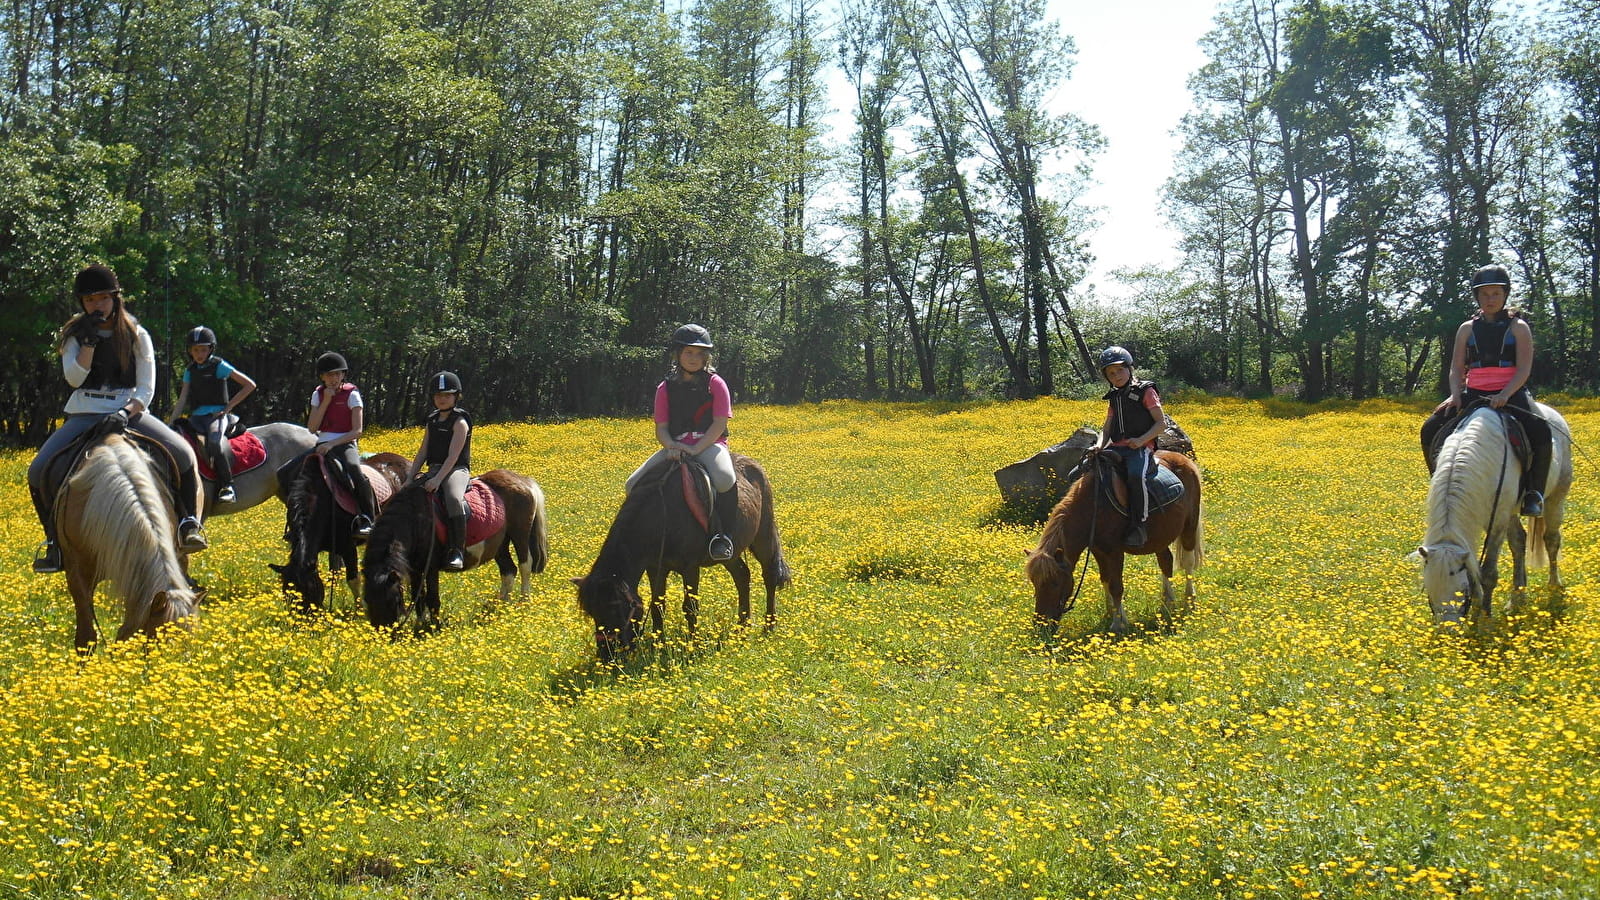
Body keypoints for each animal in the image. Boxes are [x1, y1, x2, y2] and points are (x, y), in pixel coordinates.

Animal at [361, 470, 547, 630]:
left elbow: (432, 598)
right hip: (499, 544)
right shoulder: (414, 569)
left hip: (519, 534)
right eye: (367, 599)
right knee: (508, 570)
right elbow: (417, 597)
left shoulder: (431, 568)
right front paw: (420, 625)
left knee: (524, 566)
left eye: (392, 600)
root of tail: (523, 481)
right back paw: (502, 605)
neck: (415, 521)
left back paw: (523, 603)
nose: (382, 633)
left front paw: (433, 628)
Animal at [579, 454, 796, 659]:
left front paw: (692, 645)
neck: (662, 516)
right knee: (742, 576)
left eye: (614, 608)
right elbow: (658, 605)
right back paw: (742, 627)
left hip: (763, 535)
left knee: (769, 576)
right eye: (591, 612)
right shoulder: (655, 567)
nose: (606, 655)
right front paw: (658, 645)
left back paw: (769, 626)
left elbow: (690, 607)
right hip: (731, 554)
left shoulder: (690, 567)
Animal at [1024, 445, 1203, 630]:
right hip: (1161, 536)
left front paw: (1118, 624)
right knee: (1166, 562)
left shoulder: (1115, 551)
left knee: (1188, 562)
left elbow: (1116, 586)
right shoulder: (1098, 550)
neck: (1094, 507)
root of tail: (1185, 460)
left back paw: (1190, 602)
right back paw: (1167, 604)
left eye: (1055, 583)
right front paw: (1111, 614)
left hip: (1190, 525)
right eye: (1034, 582)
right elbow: (1106, 580)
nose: (1041, 625)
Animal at [1420, 400, 1568, 624]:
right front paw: (1476, 612)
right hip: (1512, 511)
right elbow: (1474, 568)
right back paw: (1517, 597)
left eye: (1461, 592)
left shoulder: (1497, 519)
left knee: (1551, 540)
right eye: (1430, 592)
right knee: (1519, 541)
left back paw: (1554, 586)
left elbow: (1488, 572)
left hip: (1555, 498)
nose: (1448, 630)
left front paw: (1485, 617)